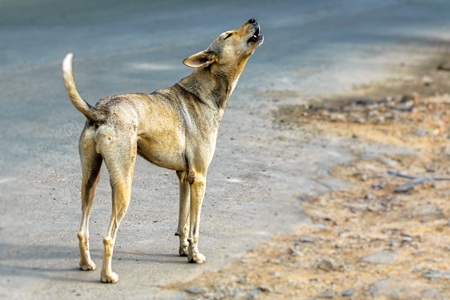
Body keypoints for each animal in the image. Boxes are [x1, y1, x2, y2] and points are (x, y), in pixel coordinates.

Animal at [61, 19, 262, 284]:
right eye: (228, 35)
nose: (253, 20)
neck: (205, 91)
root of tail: (100, 111)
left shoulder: (184, 177)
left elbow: (183, 222)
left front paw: (184, 251)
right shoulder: (200, 178)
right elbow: (196, 226)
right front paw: (195, 256)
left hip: (90, 180)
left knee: (81, 229)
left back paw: (86, 264)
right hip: (124, 184)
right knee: (108, 236)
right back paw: (108, 275)